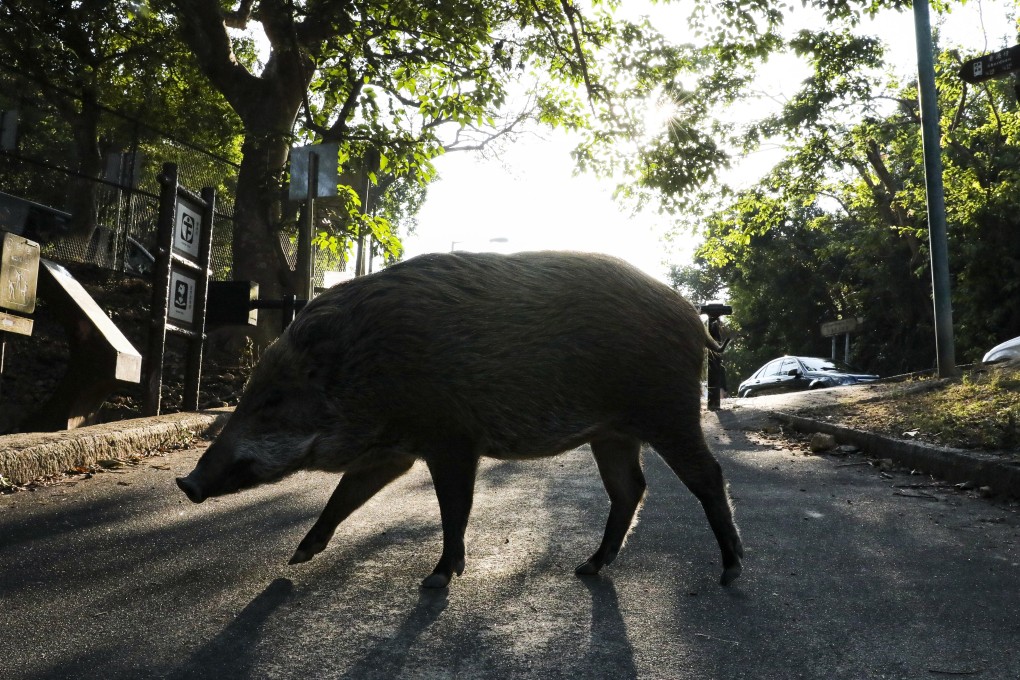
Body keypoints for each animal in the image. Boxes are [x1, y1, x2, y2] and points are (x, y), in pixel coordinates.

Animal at [177, 251, 743, 588]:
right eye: (249, 394)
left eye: (273, 399)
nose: (187, 482)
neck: (369, 367)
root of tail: (694, 320)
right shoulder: (393, 453)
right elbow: (343, 498)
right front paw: (296, 558)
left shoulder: (450, 440)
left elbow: (454, 508)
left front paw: (434, 580)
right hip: (612, 433)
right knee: (630, 488)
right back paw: (586, 568)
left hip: (668, 412)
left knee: (707, 476)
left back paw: (732, 571)